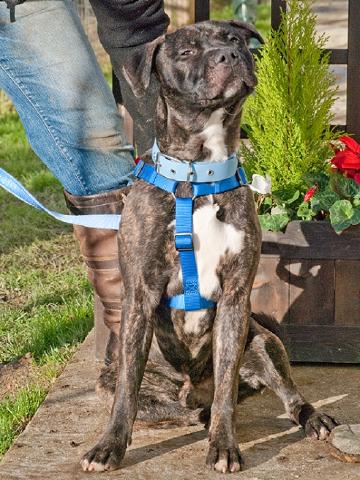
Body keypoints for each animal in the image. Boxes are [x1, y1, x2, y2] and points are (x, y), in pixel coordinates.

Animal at [81, 21, 338, 472]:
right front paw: (109, 446)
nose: (228, 55)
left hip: (263, 341)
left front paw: (223, 445)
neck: (198, 174)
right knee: (166, 403)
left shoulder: (236, 297)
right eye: (185, 52)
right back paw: (189, 411)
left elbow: (226, 397)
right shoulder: (140, 296)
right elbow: (127, 394)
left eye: (234, 39)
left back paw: (310, 417)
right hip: (109, 379)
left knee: (277, 395)